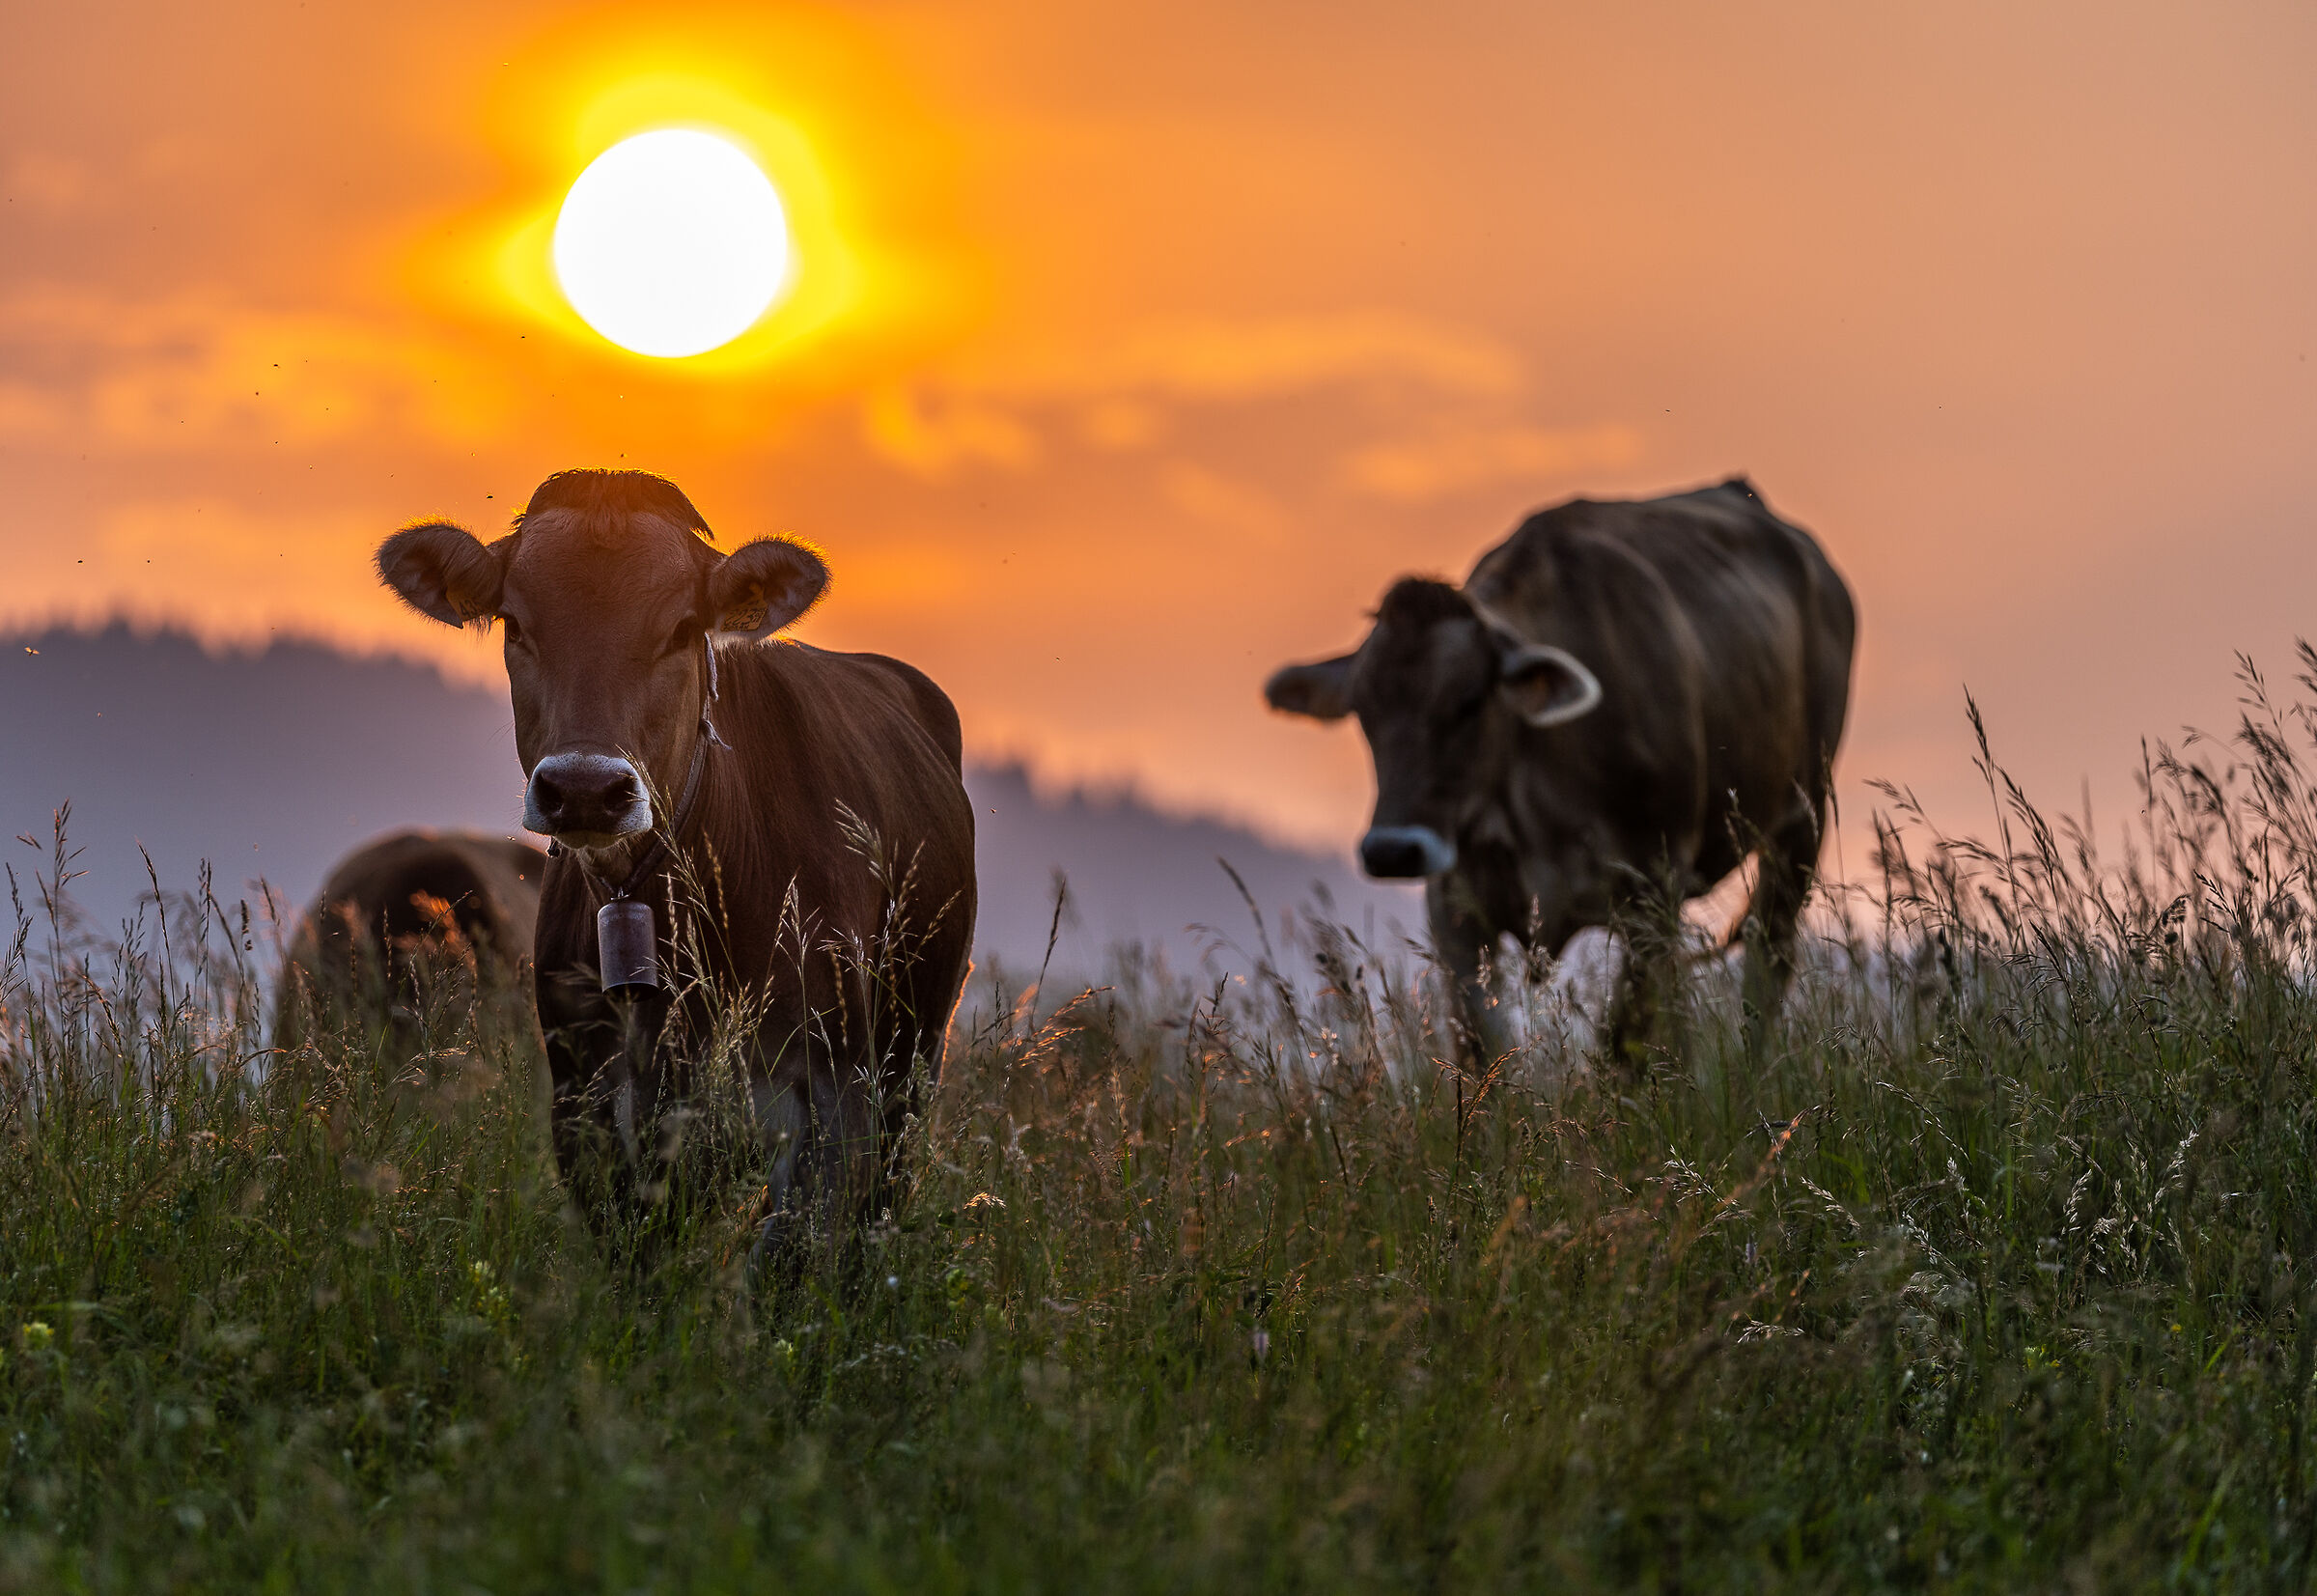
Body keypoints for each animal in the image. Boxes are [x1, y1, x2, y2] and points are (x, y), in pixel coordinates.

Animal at [374, 469, 976, 1267]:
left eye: (683, 628)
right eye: (516, 624)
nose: (585, 787)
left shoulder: (834, 1090)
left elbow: (796, 1261)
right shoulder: (588, 1103)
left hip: (912, 1056)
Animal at [1263, 478, 1855, 1060]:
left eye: (1470, 700)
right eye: (1364, 709)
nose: (1392, 850)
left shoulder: (1651, 886)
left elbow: (1624, 1043)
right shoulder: (1455, 907)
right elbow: (1481, 1045)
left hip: (1800, 821)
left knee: (1767, 956)